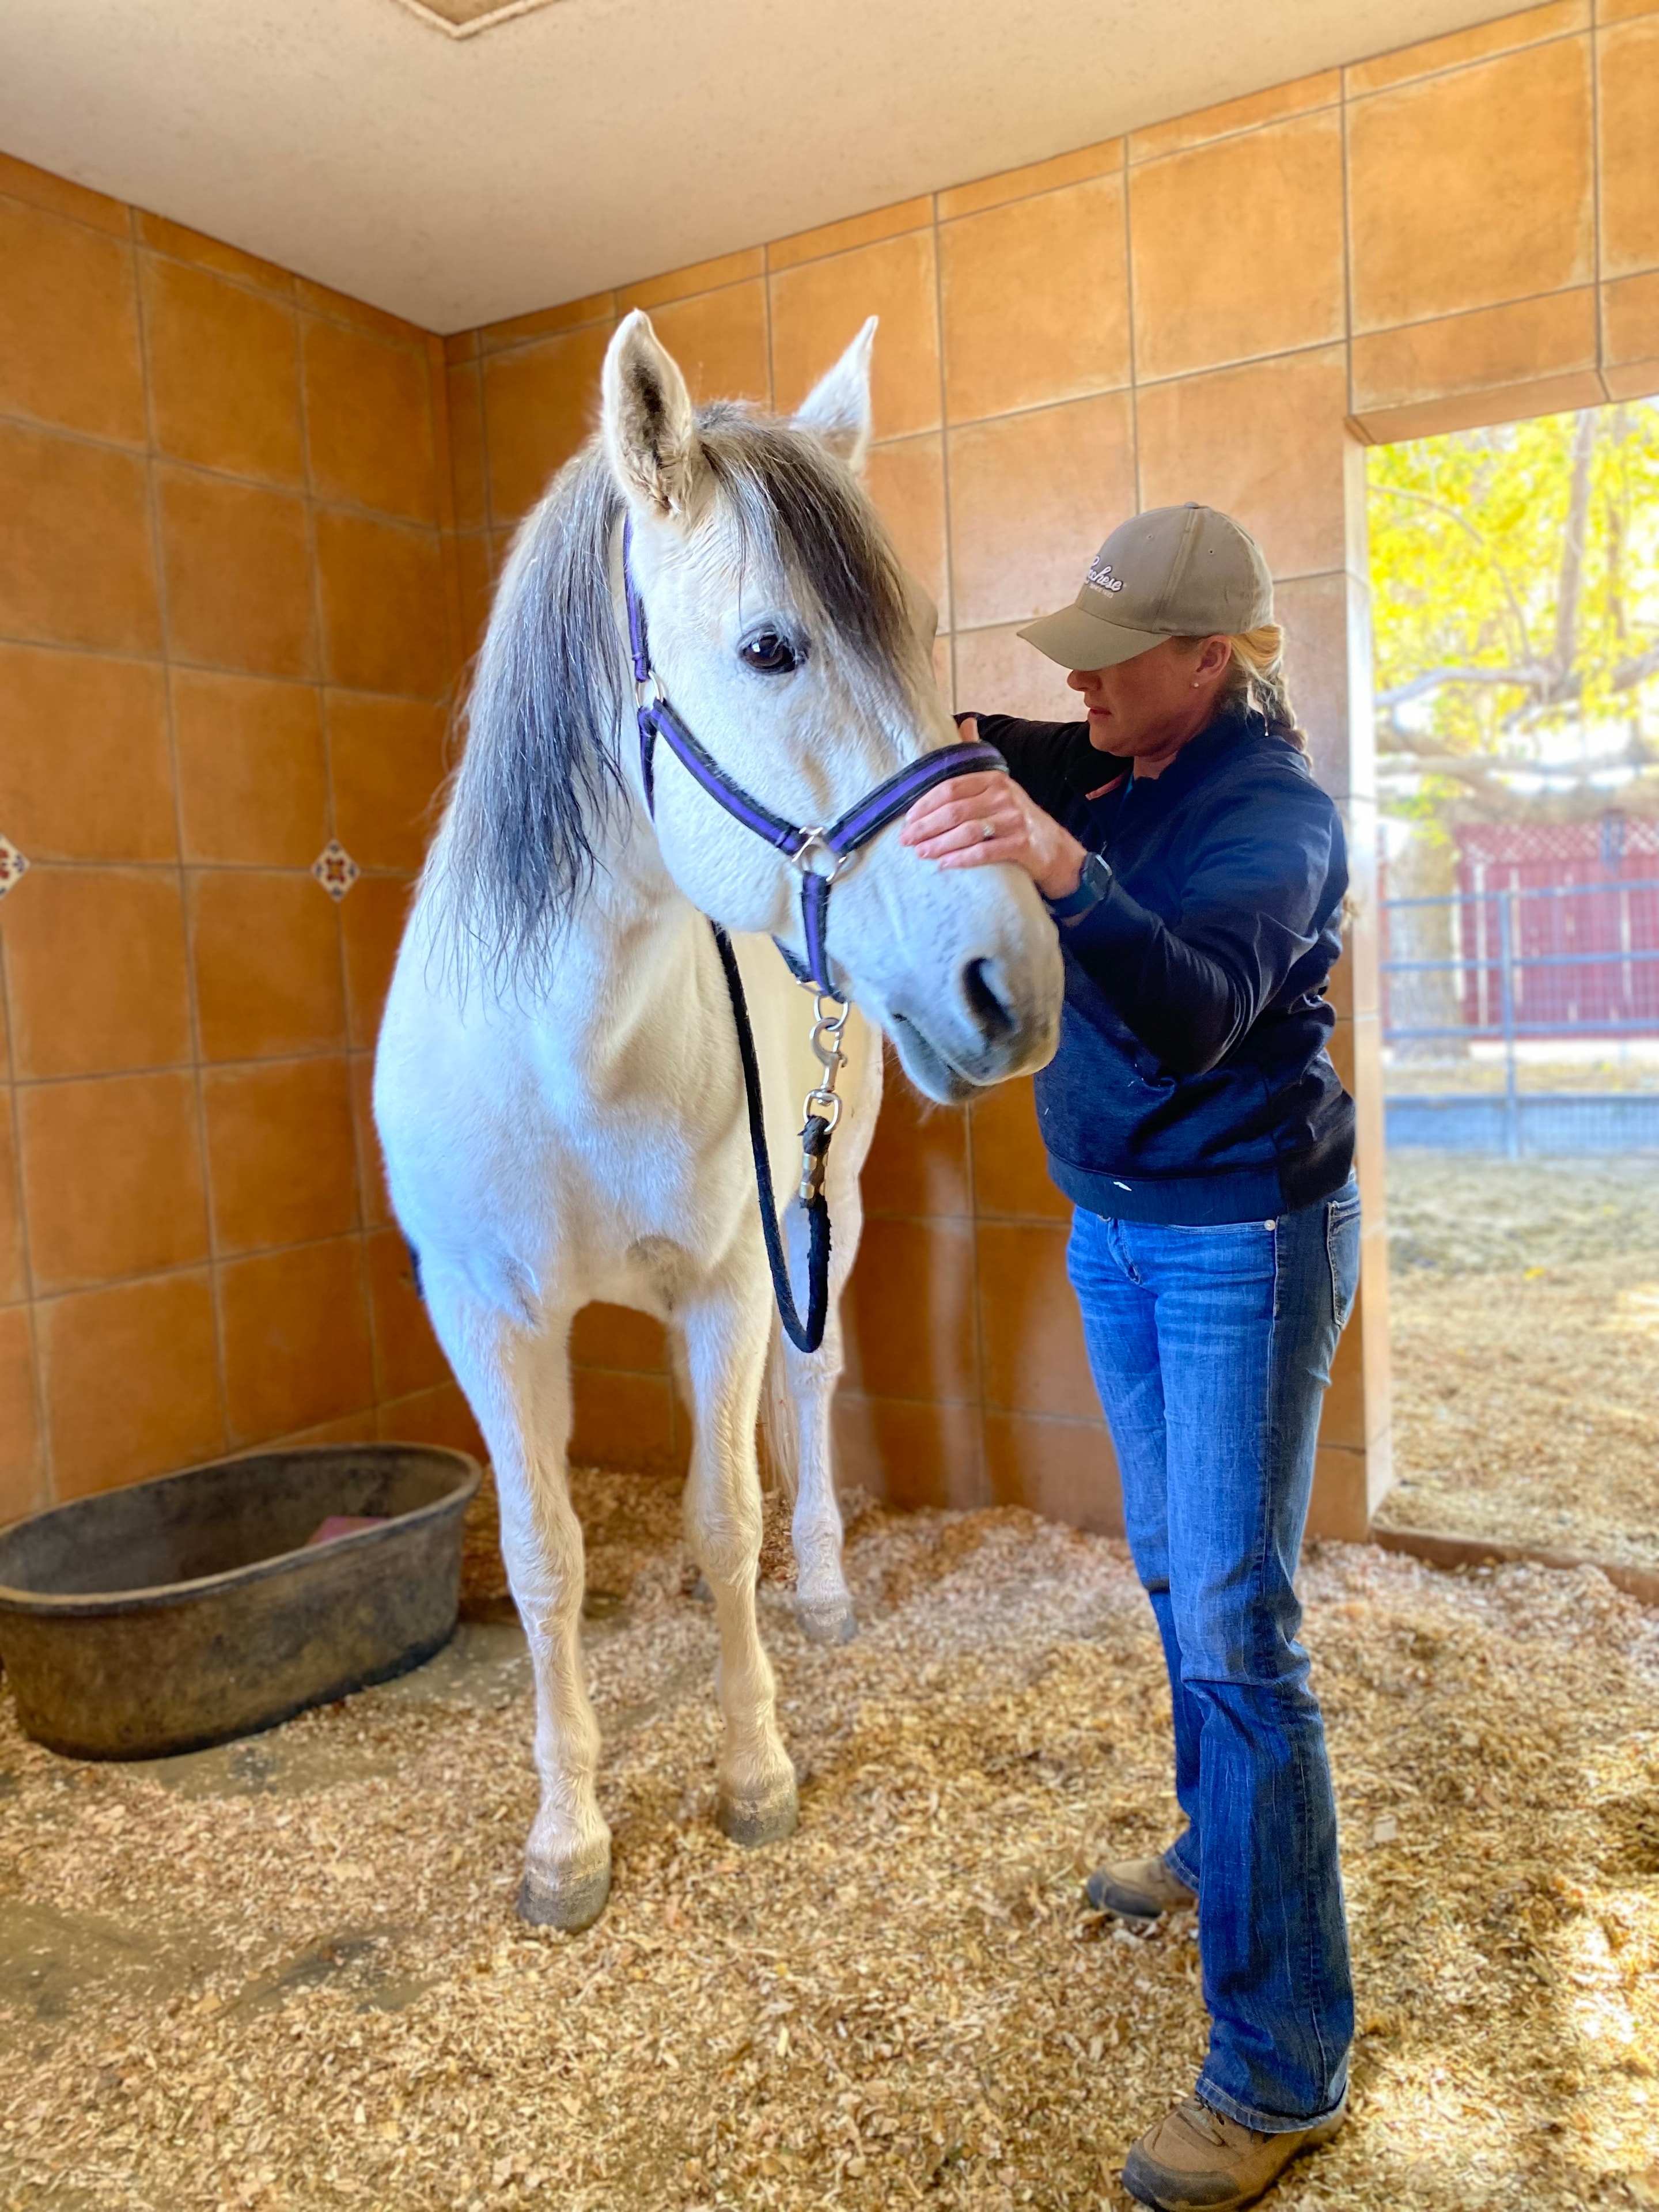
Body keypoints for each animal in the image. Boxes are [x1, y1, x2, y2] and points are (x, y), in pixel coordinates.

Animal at [373, 308, 1063, 1931]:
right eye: (770, 647)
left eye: (917, 632)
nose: (1012, 981)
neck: (569, 1047)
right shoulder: (484, 1314)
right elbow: (547, 1556)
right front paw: (566, 1838)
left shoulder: (743, 1270)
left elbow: (727, 1511)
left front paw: (754, 1767)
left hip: (822, 1214)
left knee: (794, 1405)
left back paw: (813, 1589)